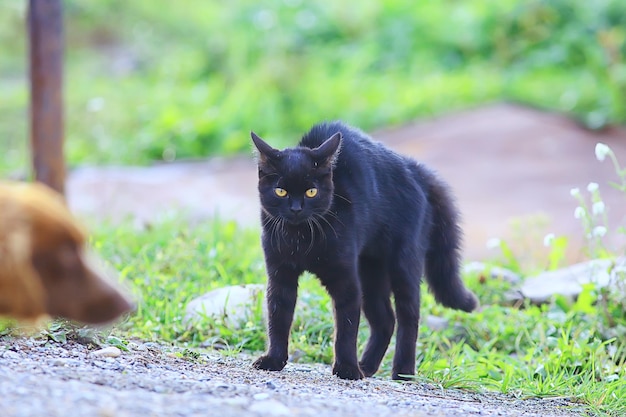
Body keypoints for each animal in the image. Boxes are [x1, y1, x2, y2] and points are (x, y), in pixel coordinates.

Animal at [251, 121, 476, 380]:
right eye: (281, 191)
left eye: (311, 192)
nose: (296, 208)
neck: (301, 238)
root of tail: (414, 168)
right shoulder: (280, 276)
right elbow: (278, 319)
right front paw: (274, 360)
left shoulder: (346, 280)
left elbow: (346, 328)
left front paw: (347, 369)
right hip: (371, 272)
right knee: (385, 320)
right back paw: (367, 366)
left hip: (403, 264)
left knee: (408, 315)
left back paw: (403, 371)